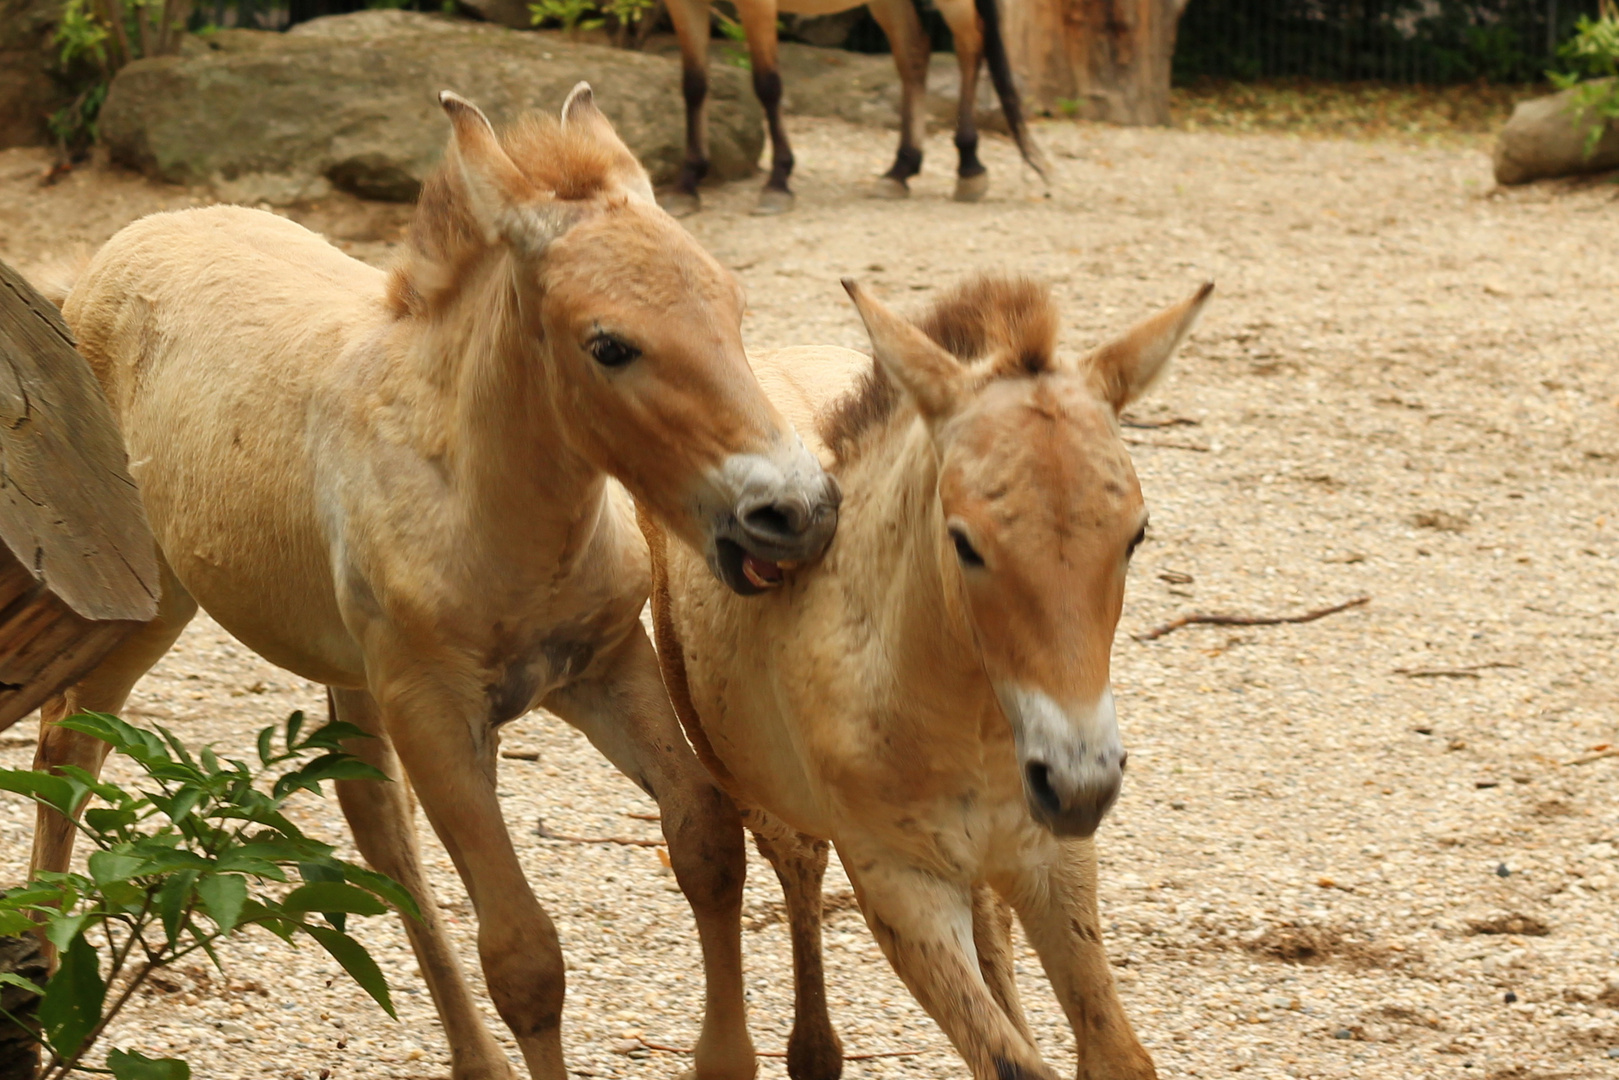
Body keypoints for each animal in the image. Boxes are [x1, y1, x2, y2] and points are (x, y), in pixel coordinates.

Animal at [31, 86, 841, 1080]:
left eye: (731, 302)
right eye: (608, 345)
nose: (794, 511)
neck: (489, 513)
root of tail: (109, 254)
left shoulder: (605, 666)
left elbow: (707, 841)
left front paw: (721, 1057)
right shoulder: (437, 708)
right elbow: (524, 955)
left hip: (348, 660)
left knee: (373, 817)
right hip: (155, 597)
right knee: (69, 745)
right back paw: (39, 985)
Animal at [637, 272, 1211, 1080]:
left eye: (1136, 534)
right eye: (964, 541)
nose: (1079, 783)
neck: (965, 720)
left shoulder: (1055, 860)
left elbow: (1116, 1056)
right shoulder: (901, 887)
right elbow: (1009, 1063)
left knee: (990, 921)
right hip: (750, 784)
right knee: (798, 866)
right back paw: (812, 1049)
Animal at [660, 0, 1049, 216]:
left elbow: (767, 84)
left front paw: (778, 183)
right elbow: (693, 85)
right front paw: (687, 185)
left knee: (969, 45)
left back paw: (969, 168)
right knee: (913, 53)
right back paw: (899, 170)